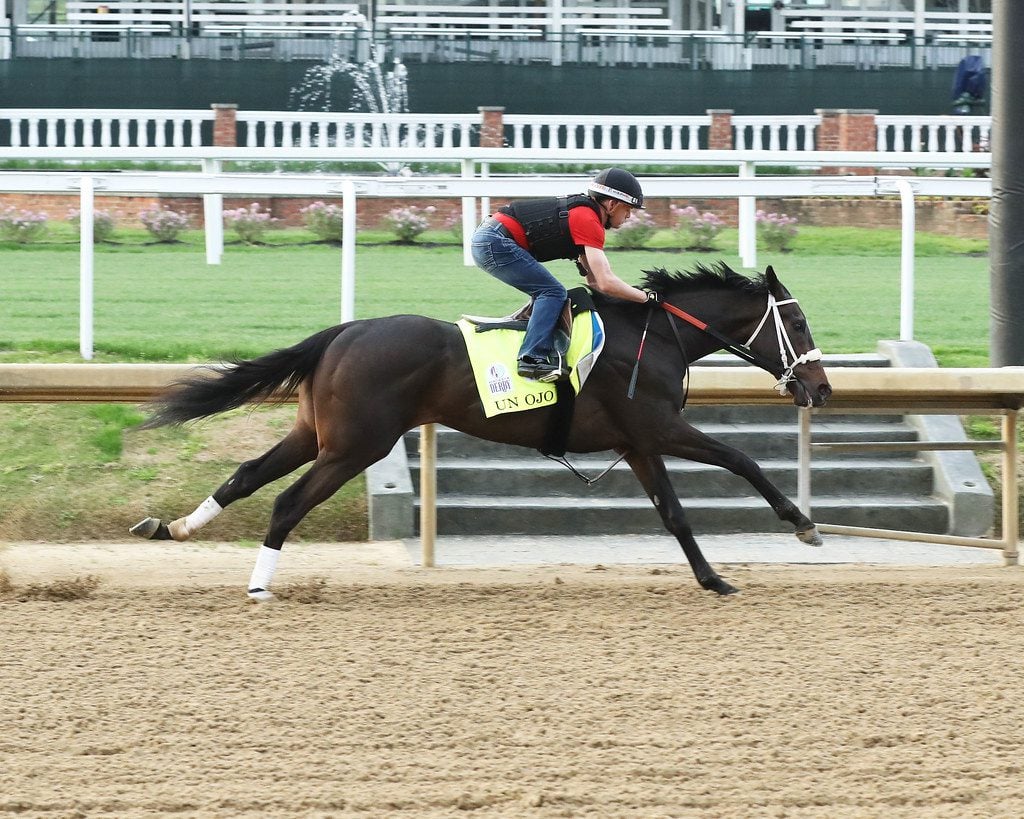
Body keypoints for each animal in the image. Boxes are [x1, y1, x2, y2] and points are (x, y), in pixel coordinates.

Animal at [130, 264, 831, 601]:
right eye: (798, 324)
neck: (654, 335)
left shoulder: (636, 444)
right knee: (286, 501)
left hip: (318, 434)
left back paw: (173, 527)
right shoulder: (658, 427)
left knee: (247, 475)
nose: (821, 388)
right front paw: (803, 524)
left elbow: (675, 515)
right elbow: (741, 460)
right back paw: (258, 585)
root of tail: (343, 332)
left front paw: (713, 579)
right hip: (357, 444)